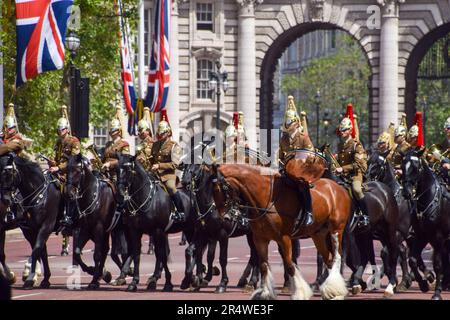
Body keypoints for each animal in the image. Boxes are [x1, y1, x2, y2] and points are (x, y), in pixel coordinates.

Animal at [0, 154, 63, 288]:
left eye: (9, 173)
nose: (6, 200)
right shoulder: (30, 228)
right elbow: (40, 251)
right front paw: (42, 278)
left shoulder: (46, 225)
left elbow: (36, 249)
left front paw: (21, 277)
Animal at [66, 154, 118, 288]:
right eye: (66, 169)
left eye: (77, 170)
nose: (69, 193)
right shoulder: (86, 229)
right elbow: (77, 252)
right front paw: (91, 271)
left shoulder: (98, 228)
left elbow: (97, 255)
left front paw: (94, 280)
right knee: (105, 249)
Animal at [116, 154, 195, 292]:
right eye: (116, 168)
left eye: (128, 169)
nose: (120, 191)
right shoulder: (135, 231)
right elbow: (136, 253)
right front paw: (134, 282)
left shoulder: (158, 230)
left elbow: (161, 254)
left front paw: (167, 282)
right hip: (185, 230)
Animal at [213, 165, 354, 300]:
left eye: (222, 189)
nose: (225, 218)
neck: (268, 199)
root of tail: (339, 188)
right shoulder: (260, 239)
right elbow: (264, 265)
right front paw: (265, 293)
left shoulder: (284, 239)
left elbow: (290, 265)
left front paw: (300, 293)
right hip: (318, 235)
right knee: (328, 259)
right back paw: (331, 289)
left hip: (336, 231)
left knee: (337, 257)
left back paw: (337, 291)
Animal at [400, 149, 450, 298]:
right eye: (402, 165)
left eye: (416, 166)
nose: (406, 192)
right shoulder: (421, 235)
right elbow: (412, 259)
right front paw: (424, 284)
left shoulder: (438, 237)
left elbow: (438, 265)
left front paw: (437, 292)